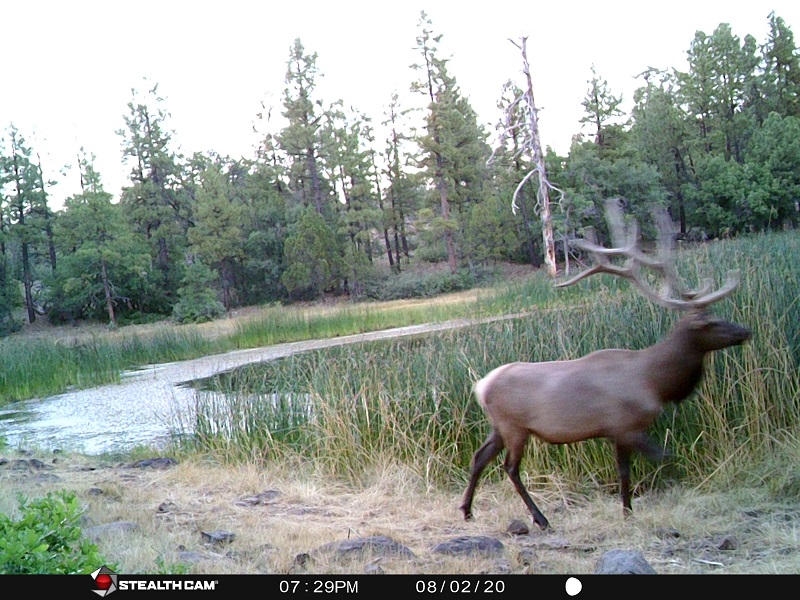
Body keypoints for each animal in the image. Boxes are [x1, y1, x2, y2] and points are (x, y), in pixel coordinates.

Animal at [460, 199, 752, 528]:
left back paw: (468, 510)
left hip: (498, 426)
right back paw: (540, 518)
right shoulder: (625, 425)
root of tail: (481, 386)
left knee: (479, 457)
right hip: (514, 426)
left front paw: (627, 510)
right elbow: (661, 459)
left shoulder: (616, 431)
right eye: (711, 322)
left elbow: (624, 471)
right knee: (509, 468)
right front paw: (636, 506)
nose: (745, 331)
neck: (655, 382)